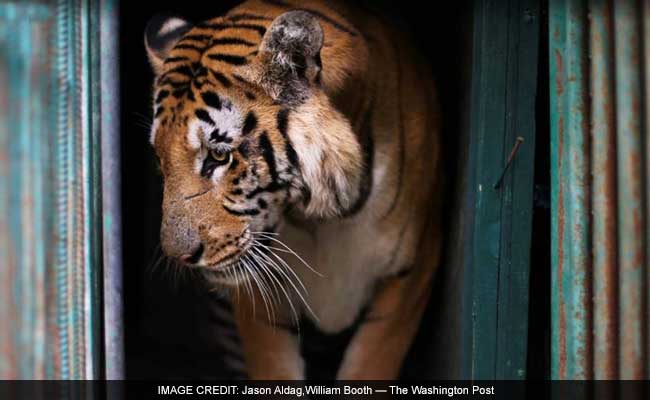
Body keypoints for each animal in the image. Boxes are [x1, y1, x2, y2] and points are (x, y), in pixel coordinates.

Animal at [145, 0, 442, 378]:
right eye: (160, 157)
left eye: (218, 156)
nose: (180, 256)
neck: (321, 219)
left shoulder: (411, 272)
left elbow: (371, 366)